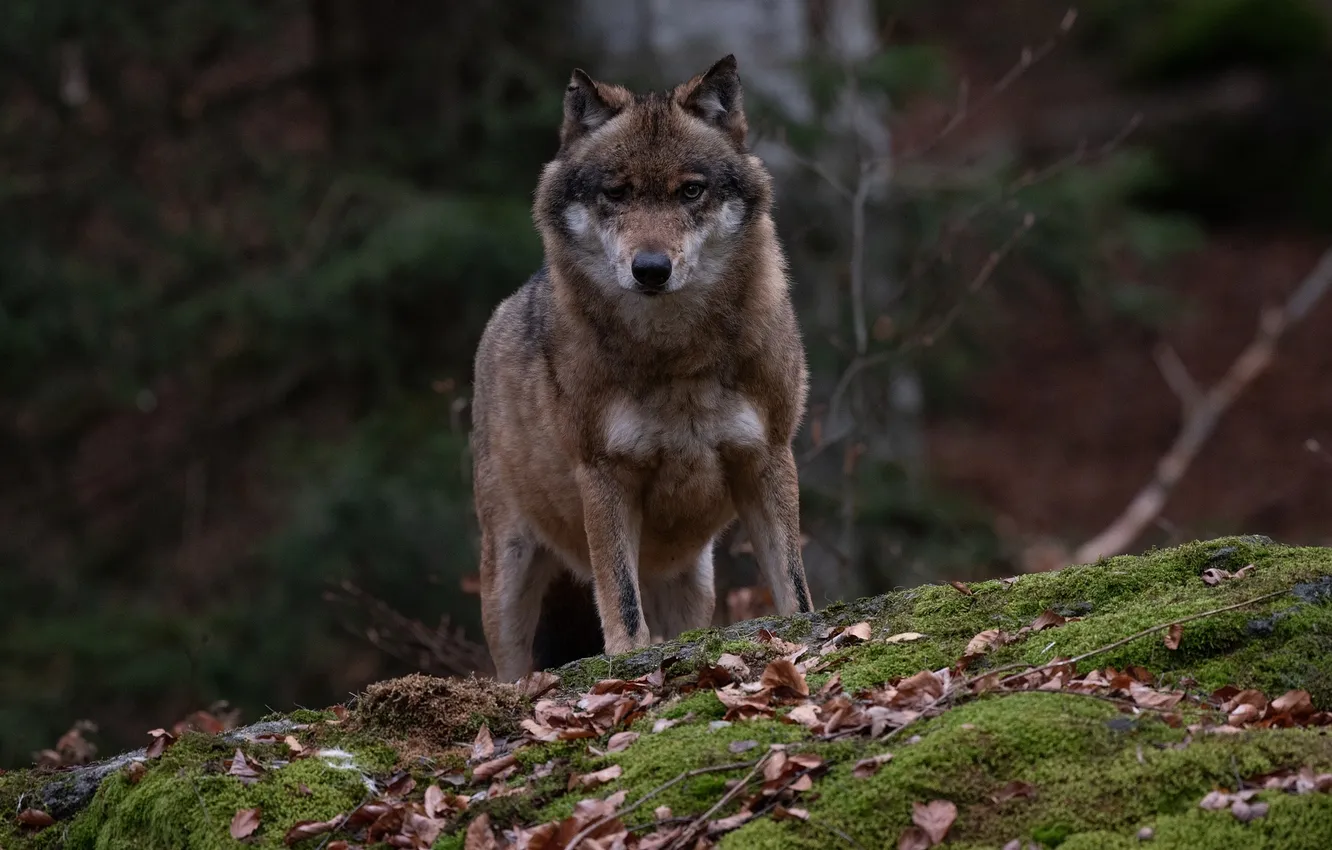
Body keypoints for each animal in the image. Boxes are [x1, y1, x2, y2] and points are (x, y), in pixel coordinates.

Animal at [471, 55, 813, 682]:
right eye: (617, 193)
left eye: (690, 191)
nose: (650, 269)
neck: (677, 358)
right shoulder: (604, 475)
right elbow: (622, 605)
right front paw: (628, 663)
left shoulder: (768, 457)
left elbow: (795, 591)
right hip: (507, 576)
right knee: (510, 667)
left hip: (692, 583)